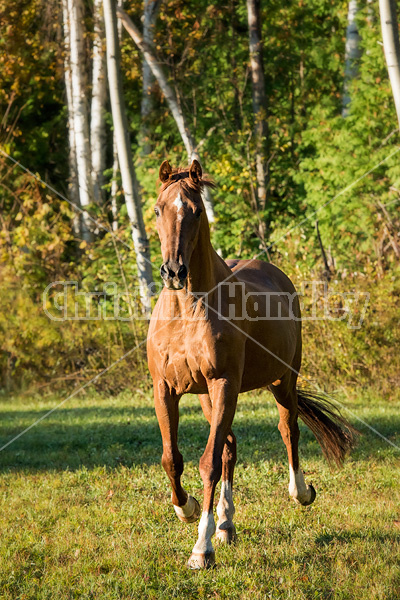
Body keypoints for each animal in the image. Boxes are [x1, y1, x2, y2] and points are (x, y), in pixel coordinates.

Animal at [148, 158, 356, 568]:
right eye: (159, 209)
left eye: (196, 211)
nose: (174, 272)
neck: (187, 311)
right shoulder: (166, 389)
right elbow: (172, 459)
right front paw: (188, 509)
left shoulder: (224, 383)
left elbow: (208, 463)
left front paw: (201, 549)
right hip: (207, 396)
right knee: (230, 446)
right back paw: (226, 524)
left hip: (282, 381)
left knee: (288, 429)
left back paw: (300, 492)